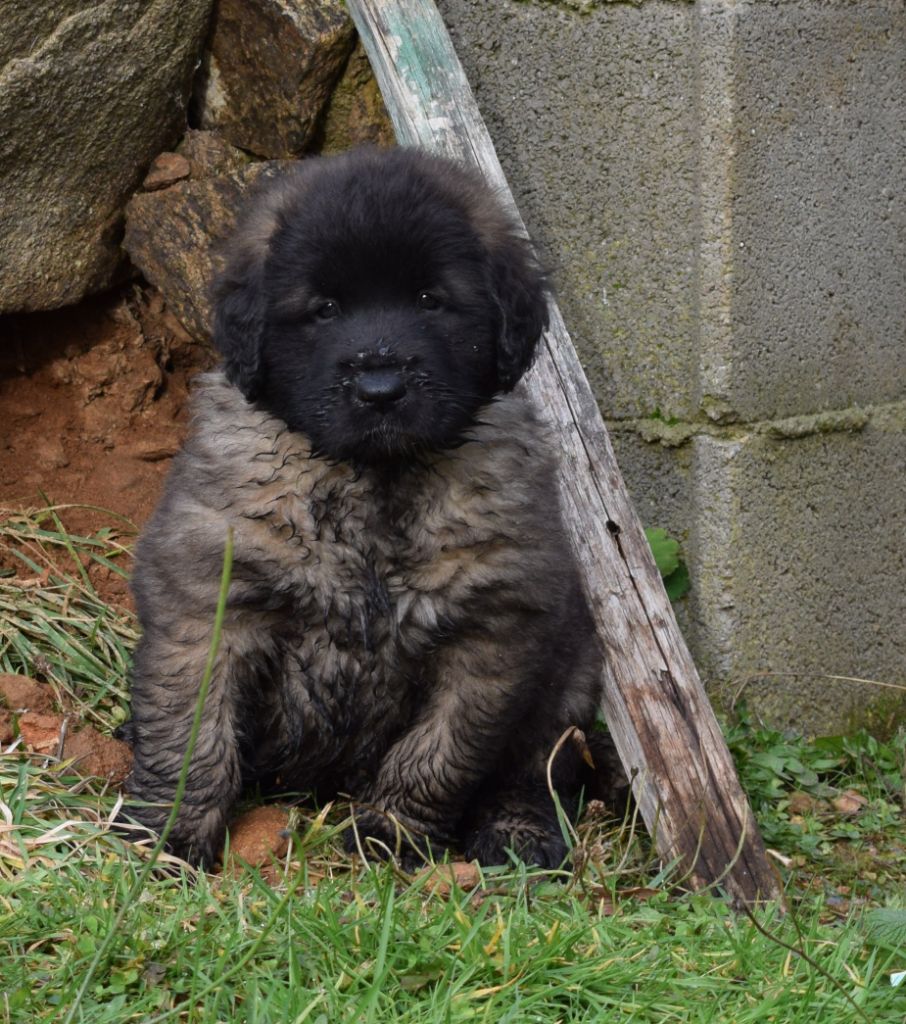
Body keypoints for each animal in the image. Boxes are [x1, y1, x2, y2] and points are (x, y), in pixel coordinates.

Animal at [123, 146, 606, 864]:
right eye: (325, 309)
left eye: (431, 301)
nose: (380, 388)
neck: (373, 484)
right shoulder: (207, 605)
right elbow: (191, 734)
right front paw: (169, 835)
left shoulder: (493, 634)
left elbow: (439, 752)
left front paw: (388, 832)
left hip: (575, 668)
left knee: (532, 769)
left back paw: (516, 832)